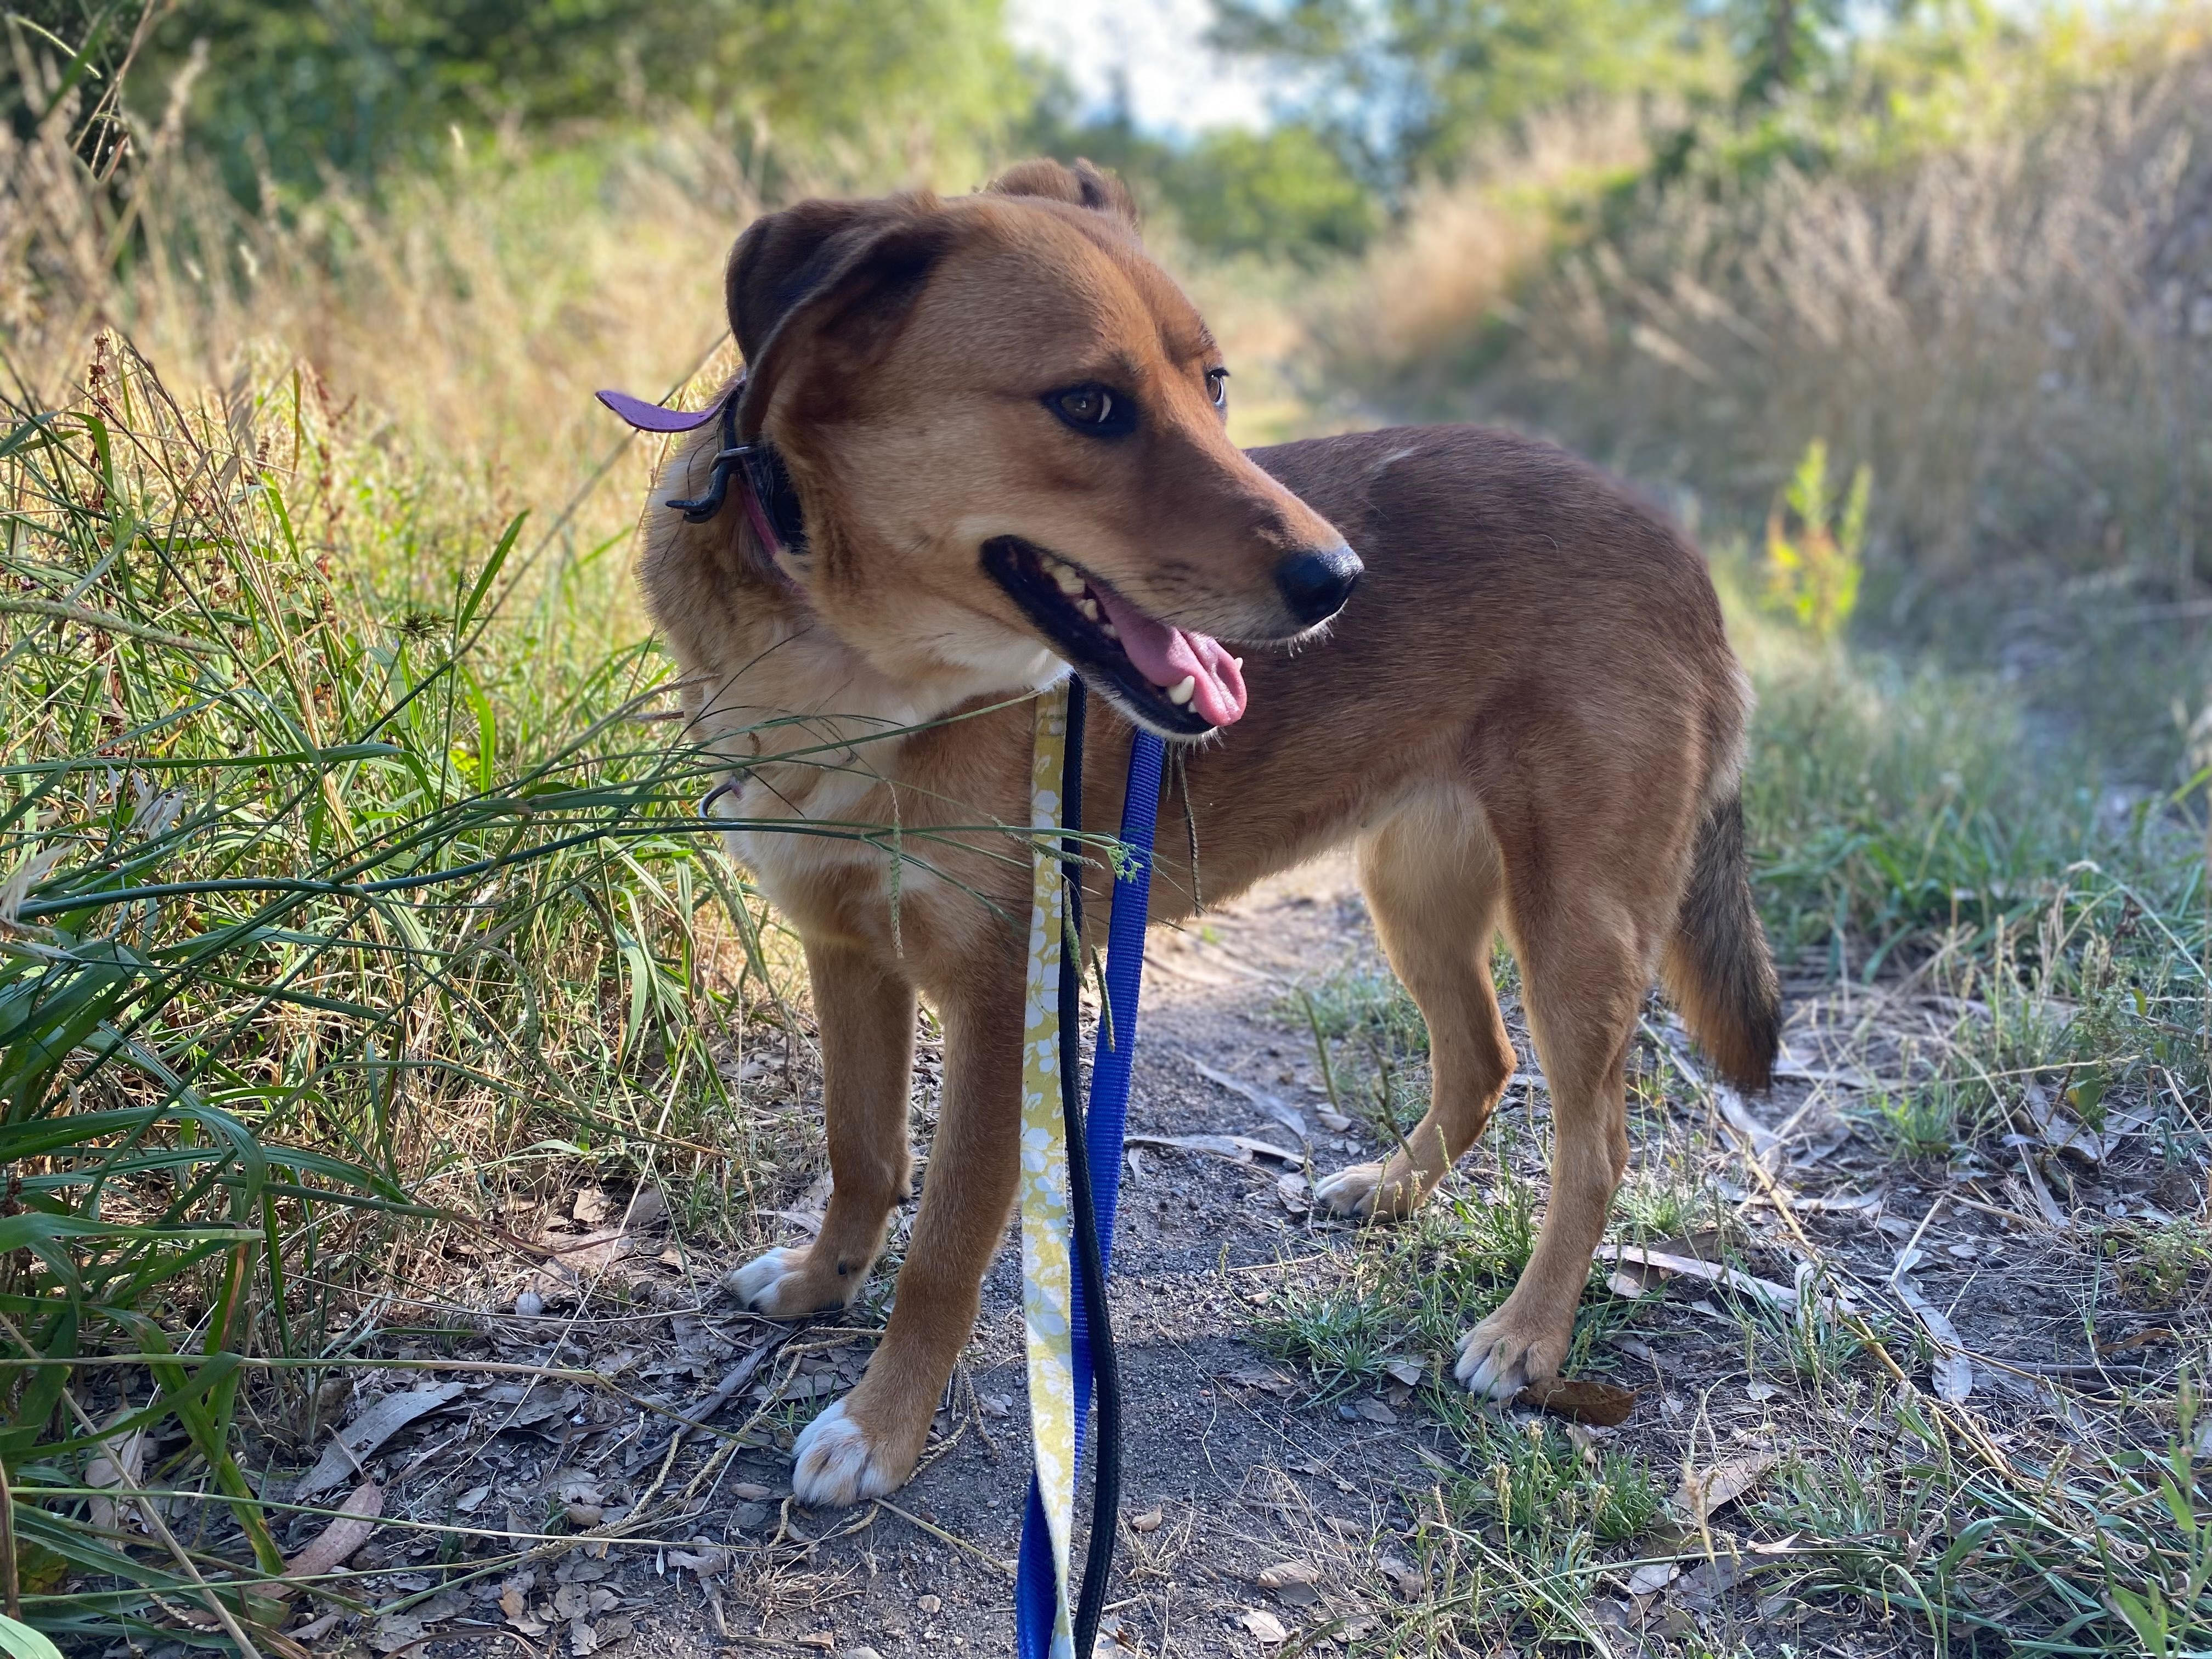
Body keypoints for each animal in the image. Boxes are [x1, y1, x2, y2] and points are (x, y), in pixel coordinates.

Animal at [633, 159, 1769, 1504]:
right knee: (1483, 1057)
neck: (857, 663)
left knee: (1597, 1141)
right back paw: (1391, 1187)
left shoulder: (1006, 1003)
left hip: (1577, 922)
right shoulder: (847, 951)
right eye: (1088, 405)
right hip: (1416, 889)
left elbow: (945, 1247)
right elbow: (860, 1153)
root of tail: (1680, 547)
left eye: (1214, 386)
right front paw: (821, 1282)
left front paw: (881, 1424)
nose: (1342, 580)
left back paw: (1528, 1333)